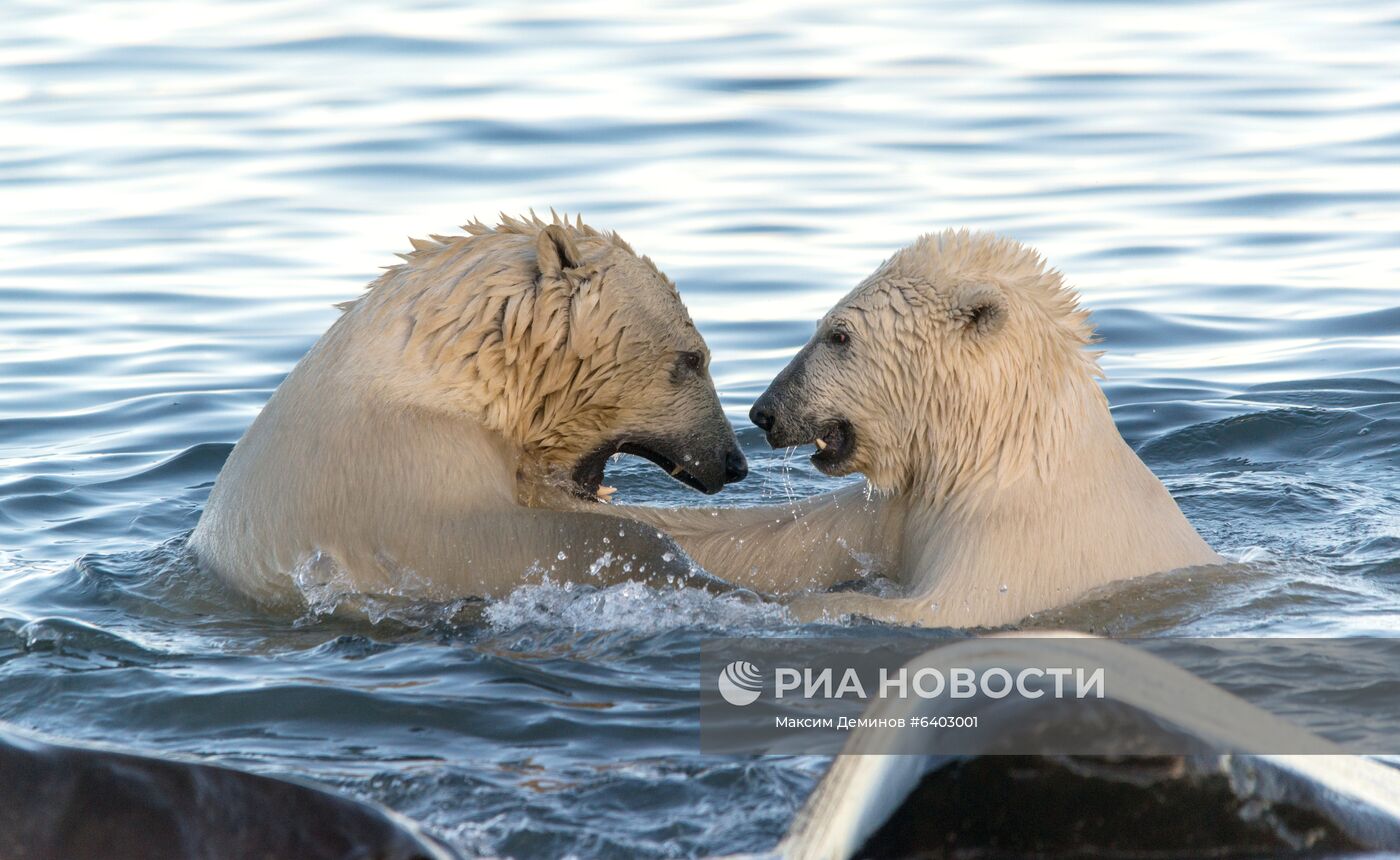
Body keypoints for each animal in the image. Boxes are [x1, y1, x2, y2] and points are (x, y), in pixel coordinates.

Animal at [621, 232, 1215, 630]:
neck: (1002, 452)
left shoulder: (1018, 551)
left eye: (839, 335)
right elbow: (769, 540)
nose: (764, 412)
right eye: (825, 328)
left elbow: (933, 610)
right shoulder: (902, 506)